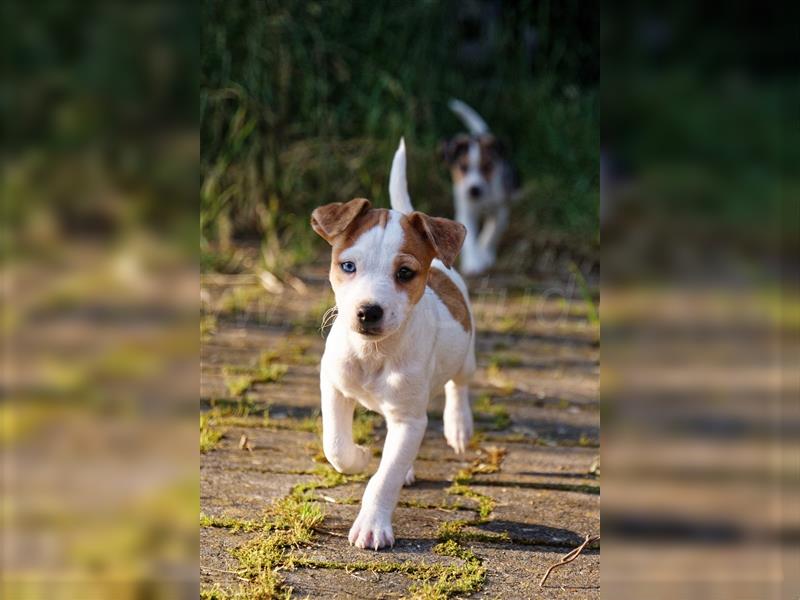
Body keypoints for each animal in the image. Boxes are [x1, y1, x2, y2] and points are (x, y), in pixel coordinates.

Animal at [310, 139, 476, 548]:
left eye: (404, 273)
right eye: (348, 266)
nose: (368, 311)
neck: (374, 353)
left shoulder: (409, 420)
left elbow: (383, 480)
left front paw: (372, 524)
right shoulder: (333, 386)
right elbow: (335, 445)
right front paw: (359, 457)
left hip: (465, 359)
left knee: (459, 386)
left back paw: (458, 426)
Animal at [438, 99, 520, 276]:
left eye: (487, 167)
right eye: (463, 167)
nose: (474, 189)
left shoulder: (500, 209)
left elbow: (493, 232)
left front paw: (484, 254)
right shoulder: (466, 208)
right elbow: (469, 238)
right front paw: (473, 262)